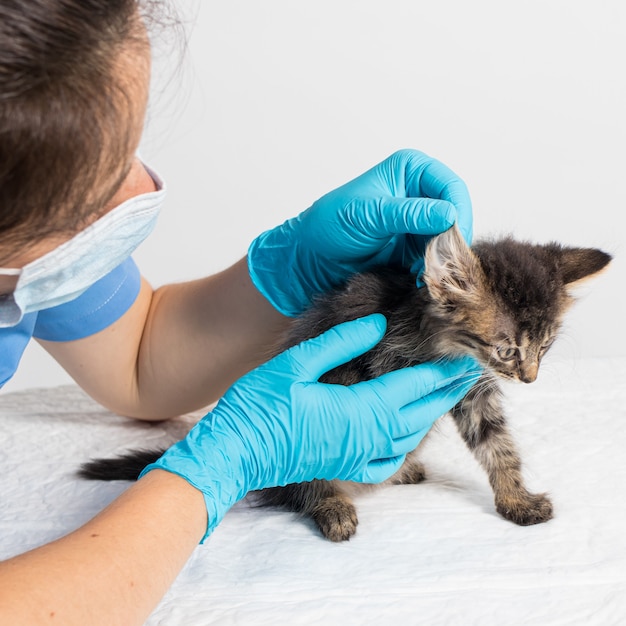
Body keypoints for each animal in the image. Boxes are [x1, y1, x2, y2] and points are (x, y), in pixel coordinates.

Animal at [78, 225, 608, 540]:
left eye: (545, 348)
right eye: (507, 350)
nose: (530, 378)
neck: (443, 344)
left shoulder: (473, 392)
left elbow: (498, 447)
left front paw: (517, 500)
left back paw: (398, 470)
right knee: (302, 478)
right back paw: (332, 503)